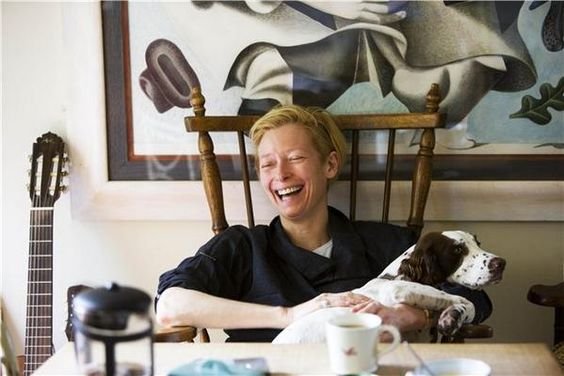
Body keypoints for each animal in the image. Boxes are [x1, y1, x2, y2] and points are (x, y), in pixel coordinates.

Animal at [274, 229, 506, 344]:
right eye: (458, 250)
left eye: (478, 243)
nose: (500, 263)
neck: (395, 276)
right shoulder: (396, 289)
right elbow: (462, 299)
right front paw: (455, 311)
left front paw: (452, 317)